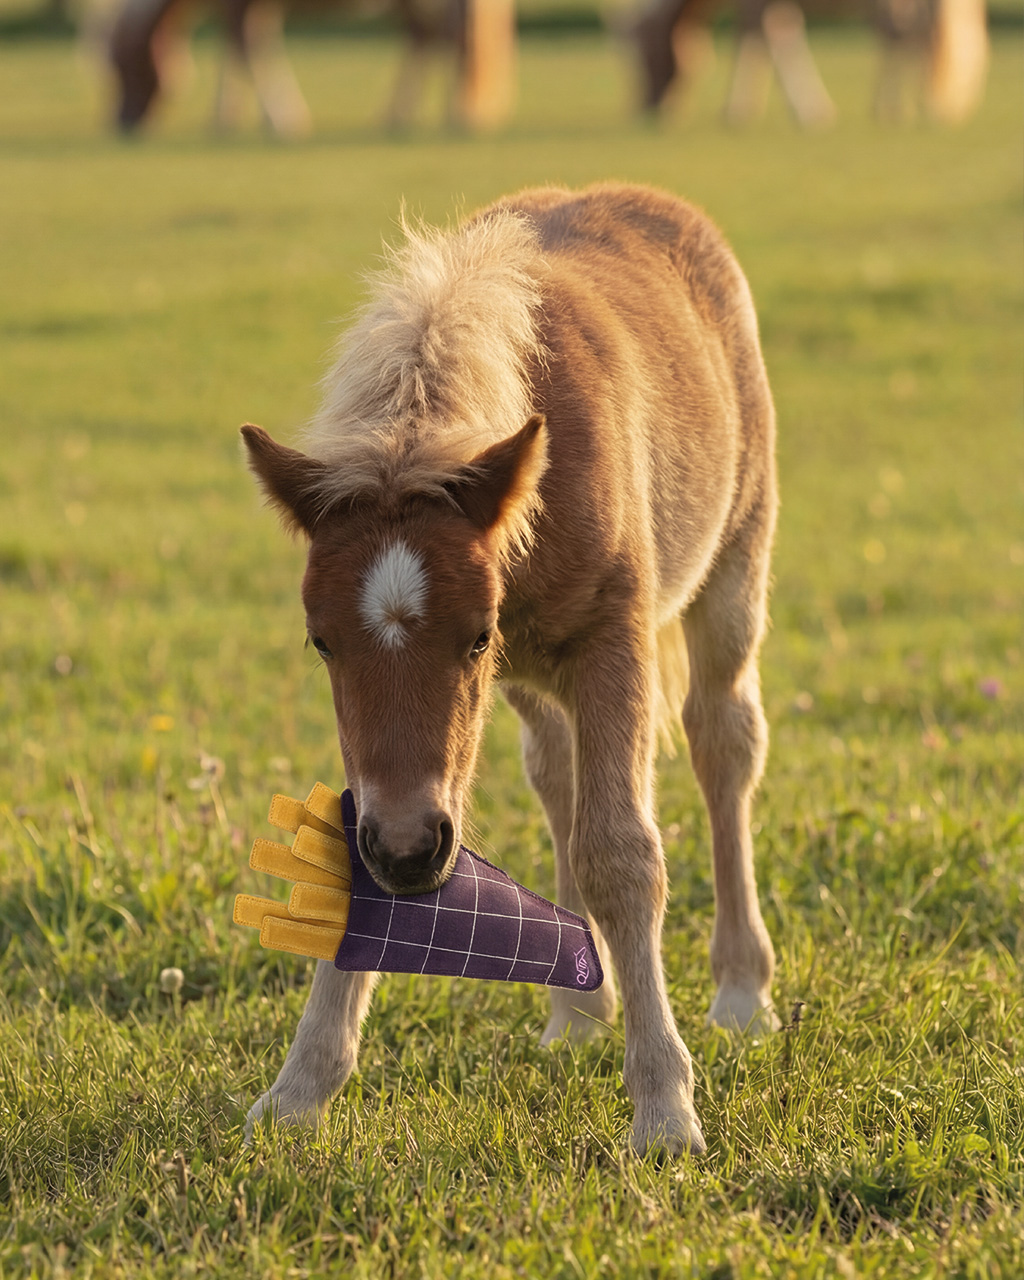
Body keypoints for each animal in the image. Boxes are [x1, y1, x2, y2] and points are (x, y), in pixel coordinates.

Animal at [107, 0, 515, 136]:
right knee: (428, 37)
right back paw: (397, 116)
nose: (122, 124)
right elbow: (241, 48)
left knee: (452, 37)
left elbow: (246, 46)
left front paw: (281, 120)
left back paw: (456, 113)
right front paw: (228, 117)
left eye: (123, 67)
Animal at [240, 182, 780, 1155]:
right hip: (534, 689)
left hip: (732, 566)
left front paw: (665, 1108)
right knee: (558, 776)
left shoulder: (613, 643)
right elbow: (357, 859)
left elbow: (622, 854)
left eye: (476, 635)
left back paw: (741, 991)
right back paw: (579, 1013)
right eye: (321, 641)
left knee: (723, 743)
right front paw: (296, 1092)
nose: (410, 849)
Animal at [628, 0, 989, 127]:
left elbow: (757, 37)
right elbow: (772, 37)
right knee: (911, 34)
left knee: (908, 34)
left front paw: (736, 111)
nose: (650, 108)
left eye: (647, 59)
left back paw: (918, 105)